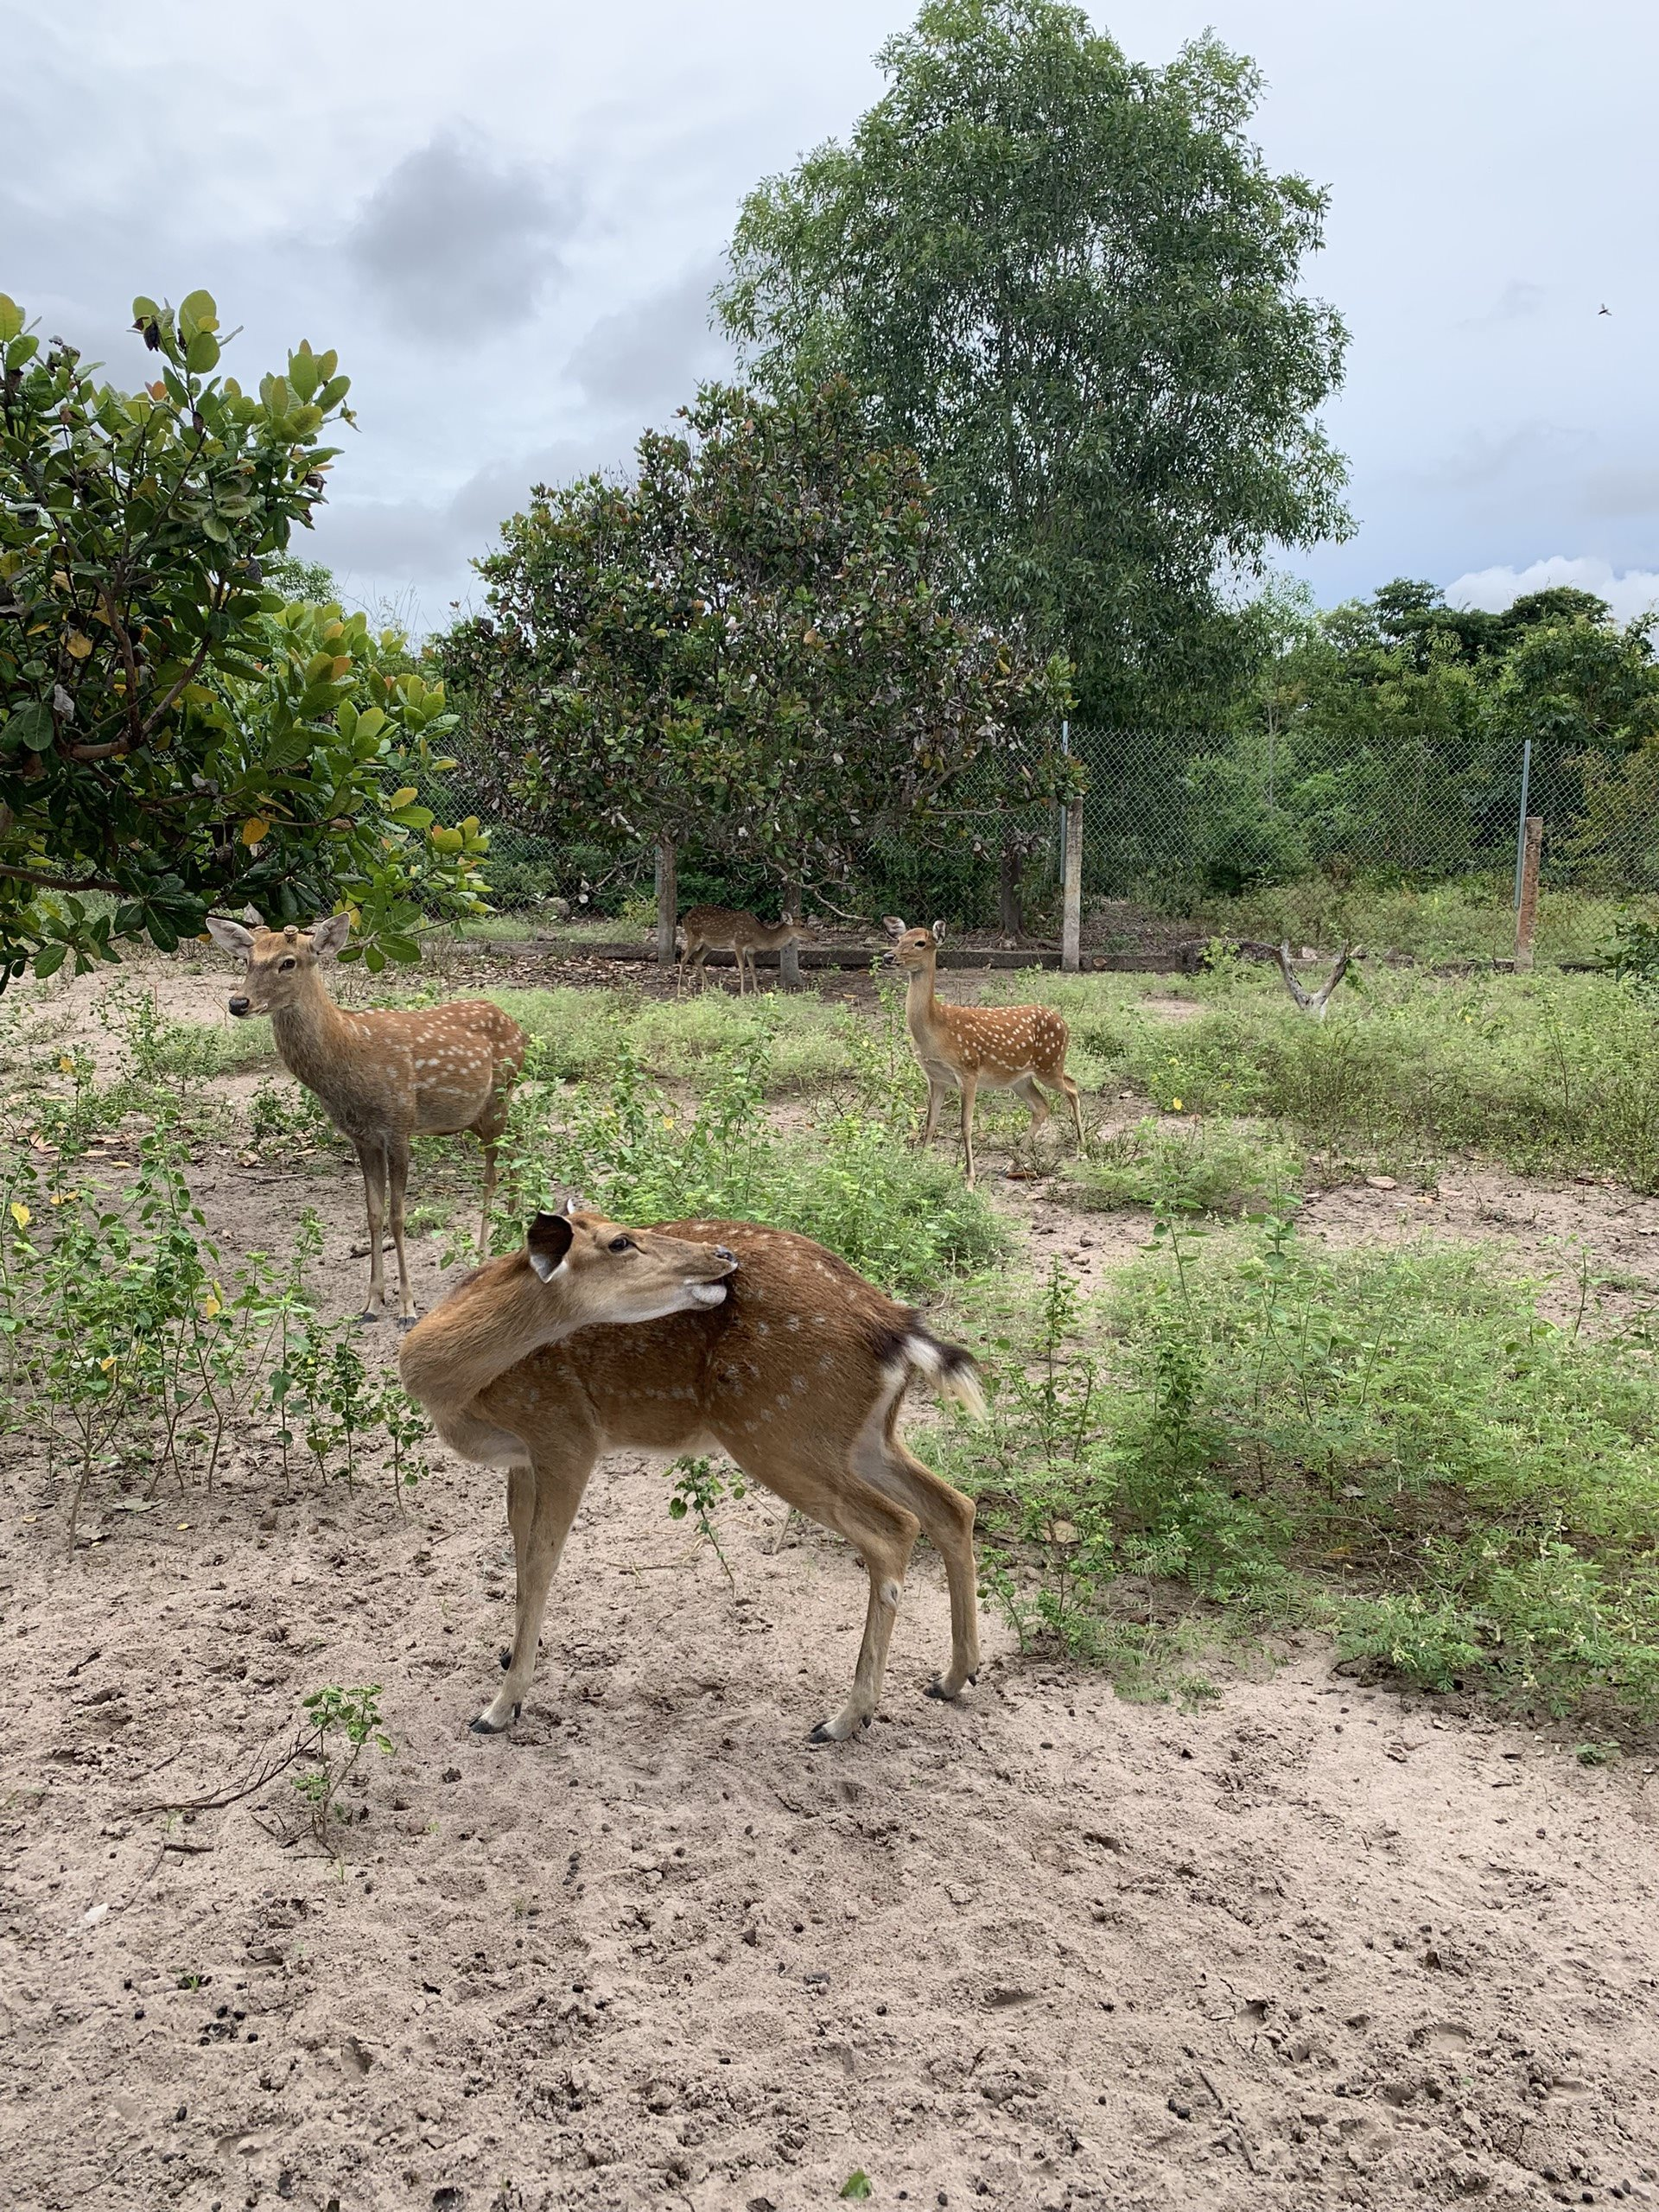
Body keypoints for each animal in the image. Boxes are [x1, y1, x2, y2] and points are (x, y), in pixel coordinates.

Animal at [204, 911, 526, 1318]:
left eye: (287, 962)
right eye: (247, 960)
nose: (238, 1002)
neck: (351, 1052)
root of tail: (519, 1029)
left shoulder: (399, 1125)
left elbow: (398, 1216)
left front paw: (407, 1306)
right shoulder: (362, 1137)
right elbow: (373, 1214)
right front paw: (372, 1302)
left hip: (499, 1097)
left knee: (494, 1171)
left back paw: (487, 1251)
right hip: (476, 1116)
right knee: (516, 1149)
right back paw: (512, 1236)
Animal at [397, 1194, 986, 1743]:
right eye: (619, 1240)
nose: (721, 1255)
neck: (453, 1390)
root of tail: (896, 1329)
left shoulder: (565, 1433)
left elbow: (543, 1557)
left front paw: (501, 1706)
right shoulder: (521, 1459)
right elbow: (519, 1544)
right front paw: (511, 1652)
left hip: (774, 1429)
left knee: (894, 1528)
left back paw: (844, 1719)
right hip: (860, 1435)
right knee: (952, 1504)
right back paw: (952, 1677)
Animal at [672, 902, 809, 1000]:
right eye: (802, 925)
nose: (813, 936)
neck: (757, 936)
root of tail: (684, 918)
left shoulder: (751, 951)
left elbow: (753, 969)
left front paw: (758, 993)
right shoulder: (739, 944)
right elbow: (742, 969)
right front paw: (743, 994)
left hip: (708, 943)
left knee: (697, 958)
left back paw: (710, 989)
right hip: (694, 936)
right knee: (684, 958)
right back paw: (679, 989)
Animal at [885, 915, 1092, 1194]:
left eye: (920, 942)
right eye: (899, 939)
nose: (889, 956)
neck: (937, 1030)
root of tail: (1064, 1023)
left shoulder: (968, 1070)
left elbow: (966, 1125)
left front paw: (969, 1180)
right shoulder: (935, 1076)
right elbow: (931, 1121)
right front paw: (920, 1165)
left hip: (1050, 1064)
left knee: (1072, 1087)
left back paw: (1082, 1150)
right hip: (1020, 1078)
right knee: (1041, 1106)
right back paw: (1010, 1165)